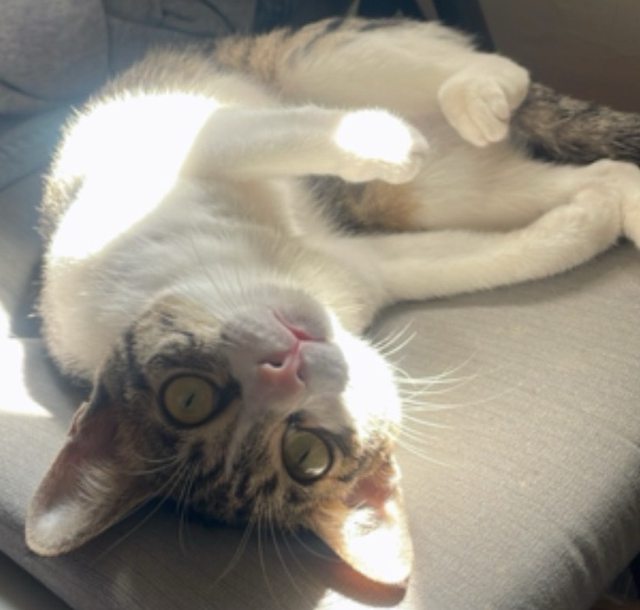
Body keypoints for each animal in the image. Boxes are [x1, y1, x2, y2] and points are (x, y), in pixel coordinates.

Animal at [25, 16, 640, 586]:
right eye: (307, 454)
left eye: (187, 396)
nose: (285, 367)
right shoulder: (373, 266)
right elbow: (486, 261)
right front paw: (590, 224)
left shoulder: (191, 149)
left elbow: (262, 134)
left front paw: (386, 141)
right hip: (440, 195)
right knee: (587, 173)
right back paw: (613, 198)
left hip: (324, 57)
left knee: (492, 68)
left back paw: (466, 102)